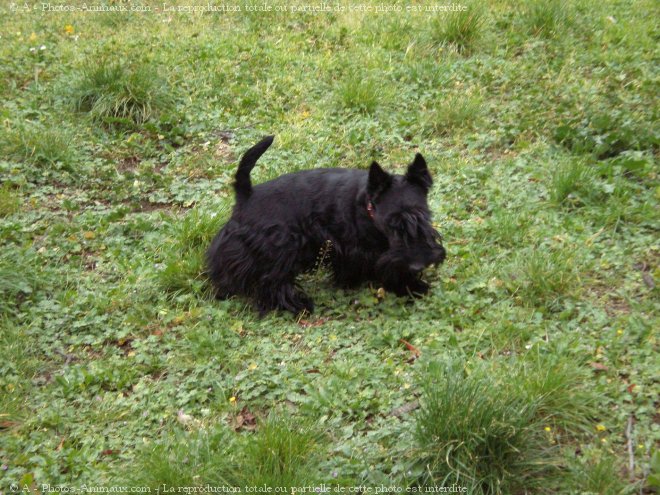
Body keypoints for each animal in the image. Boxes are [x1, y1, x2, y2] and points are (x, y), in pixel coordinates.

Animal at [206, 136, 444, 314]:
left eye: (424, 218)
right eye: (391, 224)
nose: (418, 264)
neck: (368, 207)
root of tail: (247, 195)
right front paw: (410, 285)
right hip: (279, 251)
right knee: (272, 282)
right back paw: (297, 305)